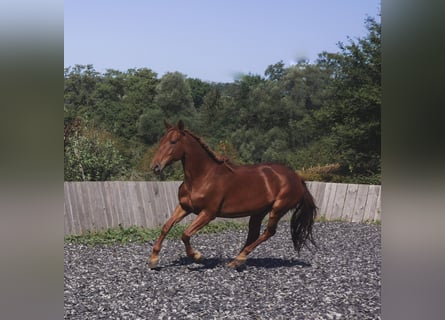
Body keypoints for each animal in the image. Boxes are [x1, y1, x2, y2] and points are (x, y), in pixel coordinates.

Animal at [149, 120, 316, 268]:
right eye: (161, 141)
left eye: (173, 141)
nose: (155, 166)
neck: (202, 177)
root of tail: (297, 178)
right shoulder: (184, 207)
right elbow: (166, 226)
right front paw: (153, 259)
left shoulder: (208, 213)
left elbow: (185, 234)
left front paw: (197, 256)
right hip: (258, 212)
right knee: (254, 234)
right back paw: (235, 260)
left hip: (278, 209)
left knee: (269, 232)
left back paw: (239, 259)